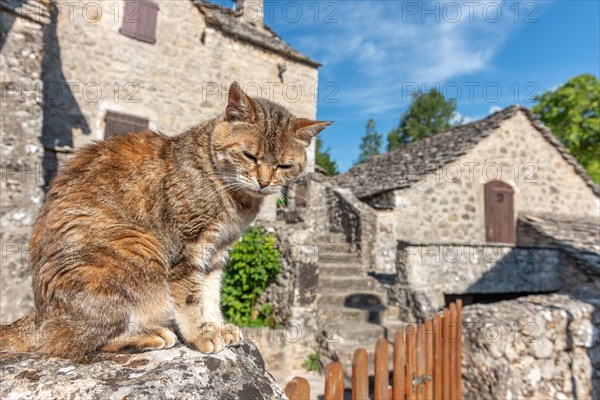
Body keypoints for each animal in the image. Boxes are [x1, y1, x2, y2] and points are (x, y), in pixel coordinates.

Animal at [0, 83, 330, 360]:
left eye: (284, 165)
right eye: (249, 155)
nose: (264, 182)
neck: (236, 199)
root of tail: (39, 316)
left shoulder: (216, 251)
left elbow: (211, 294)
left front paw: (216, 325)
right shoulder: (187, 248)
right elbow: (191, 298)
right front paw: (201, 334)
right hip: (137, 245)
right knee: (73, 341)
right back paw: (149, 334)